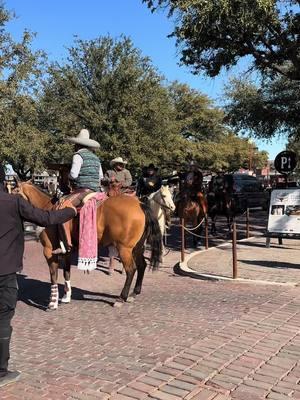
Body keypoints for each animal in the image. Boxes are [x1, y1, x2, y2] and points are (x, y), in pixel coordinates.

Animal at [15, 181, 162, 310]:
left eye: (15, 191)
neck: (47, 210)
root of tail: (140, 204)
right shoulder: (66, 252)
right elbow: (66, 273)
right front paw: (66, 296)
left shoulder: (49, 251)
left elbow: (53, 276)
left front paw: (53, 302)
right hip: (137, 248)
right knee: (142, 266)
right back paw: (134, 293)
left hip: (124, 249)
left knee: (131, 270)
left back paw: (121, 298)